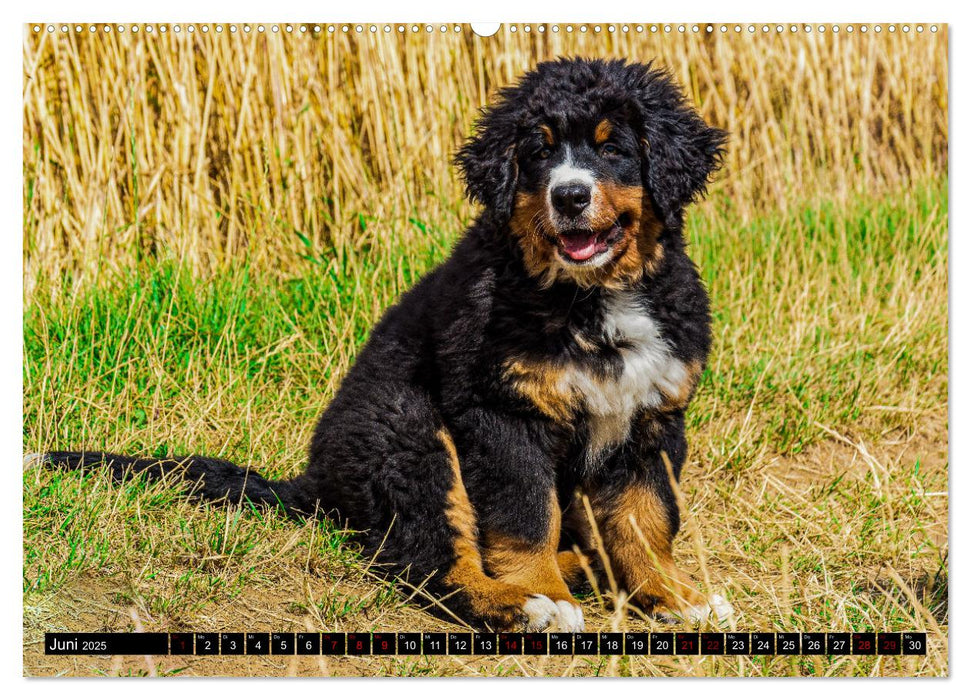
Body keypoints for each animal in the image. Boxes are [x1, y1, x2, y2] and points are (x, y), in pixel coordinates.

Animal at [34, 57, 732, 632]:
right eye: (539, 151)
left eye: (614, 150)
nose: (569, 195)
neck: (590, 297)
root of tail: (315, 481)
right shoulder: (503, 413)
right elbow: (526, 517)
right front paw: (546, 594)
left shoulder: (652, 415)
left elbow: (647, 519)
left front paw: (675, 597)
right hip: (409, 431)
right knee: (430, 562)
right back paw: (523, 601)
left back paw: (588, 569)